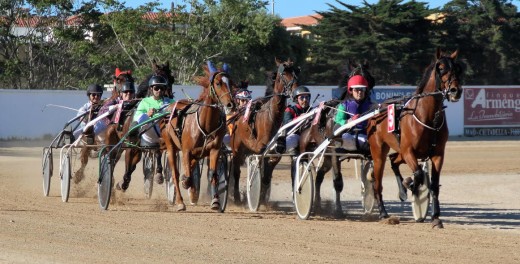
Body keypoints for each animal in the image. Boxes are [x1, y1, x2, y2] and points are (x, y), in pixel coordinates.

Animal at [164, 60, 235, 211]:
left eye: (231, 83)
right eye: (218, 83)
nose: (231, 104)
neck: (206, 123)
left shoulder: (214, 150)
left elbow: (213, 174)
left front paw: (216, 201)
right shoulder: (186, 151)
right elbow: (187, 176)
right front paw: (186, 184)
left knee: (191, 166)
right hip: (170, 146)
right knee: (175, 173)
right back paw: (180, 201)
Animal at [230, 57, 298, 203]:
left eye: (295, 73)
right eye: (283, 73)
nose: (295, 92)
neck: (272, 117)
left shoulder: (275, 152)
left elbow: (267, 174)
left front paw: (262, 197)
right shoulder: (258, 147)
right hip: (237, 148)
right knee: (236, 171)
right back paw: (237, 197)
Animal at [298, 60, 376, 218]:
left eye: (370, 79)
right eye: (354, 76)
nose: (362, 92)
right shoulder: (334, 151)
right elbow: (338, 181)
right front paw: (338, 210)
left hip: (326, 158)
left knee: (319, 176)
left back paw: (317, 205)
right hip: (309, 147)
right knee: (303, 167)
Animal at [366, 49, 464, 227]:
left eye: (458, 69)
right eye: (441, 68)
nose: (455, 90)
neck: (429, 116)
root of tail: (376, 111)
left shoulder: (437, 154)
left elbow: (434, 185)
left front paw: (436, 217)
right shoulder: (409, 151)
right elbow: (418, 174)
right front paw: (411, 186)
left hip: (400, 152)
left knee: (393, 160)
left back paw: (403, 191)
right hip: (378, 153)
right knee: (377, 182)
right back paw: (383, 213)